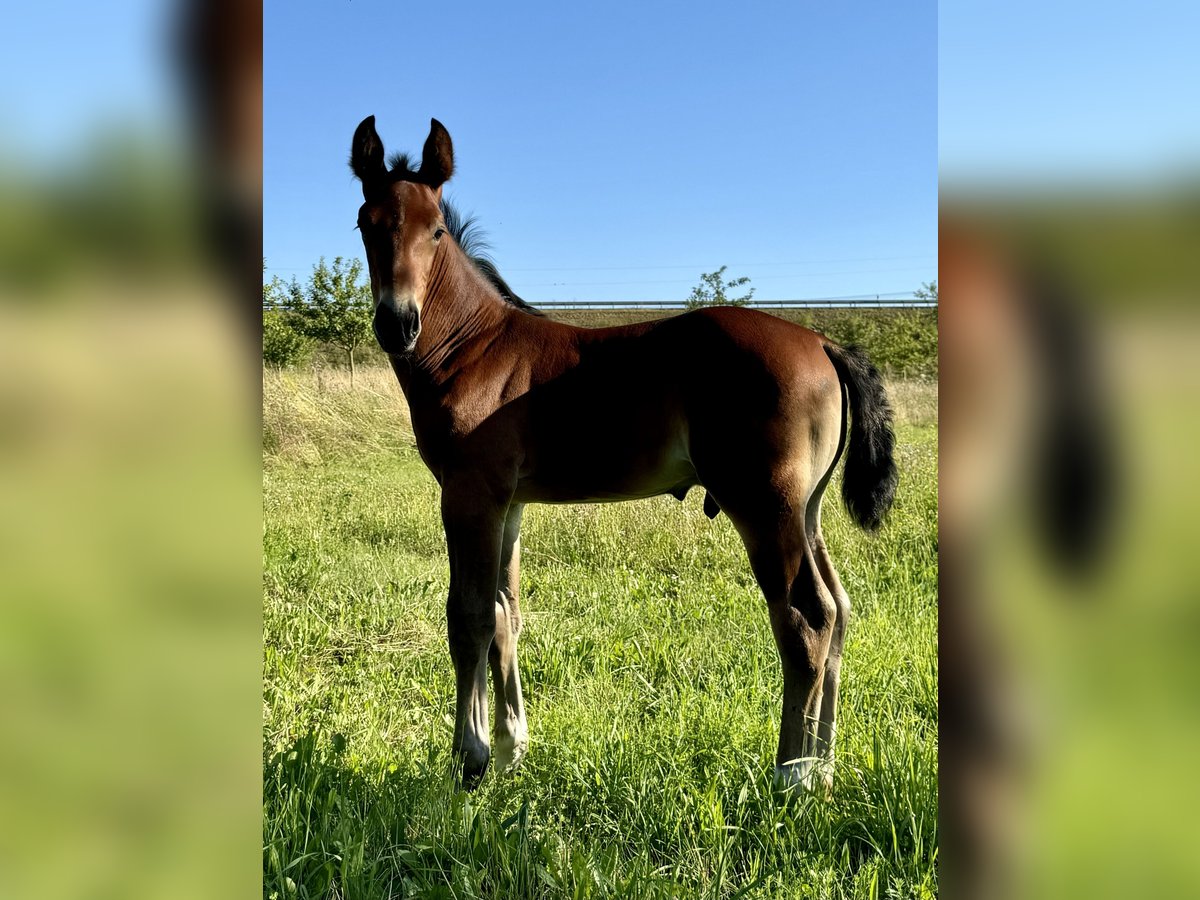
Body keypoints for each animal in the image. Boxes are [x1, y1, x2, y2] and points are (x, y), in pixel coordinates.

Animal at [350, 116, 897, 792]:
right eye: (366, 223)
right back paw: (821, 770)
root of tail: (823, 342)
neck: (472, 348)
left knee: (805, 619)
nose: (396, 323)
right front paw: (510, 748)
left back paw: (790, 776)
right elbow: (506, 615)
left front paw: (469, 758)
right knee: (839, 612)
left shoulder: (469, 493)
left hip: (763, 503)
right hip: (806, 509)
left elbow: (469, 615)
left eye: (436, 230)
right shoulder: (509, 504)